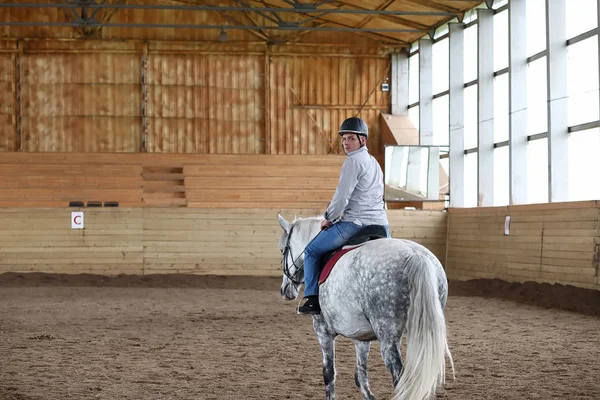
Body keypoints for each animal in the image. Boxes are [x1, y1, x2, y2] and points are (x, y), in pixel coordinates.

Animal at [278, 216, 452, 400]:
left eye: (282, 250)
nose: (285, 290)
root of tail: (415, 256)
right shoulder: (361, 336)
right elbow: (361, 376)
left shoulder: (323, 331)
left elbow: (329, 373)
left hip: (387, 335)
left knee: (400, 378)